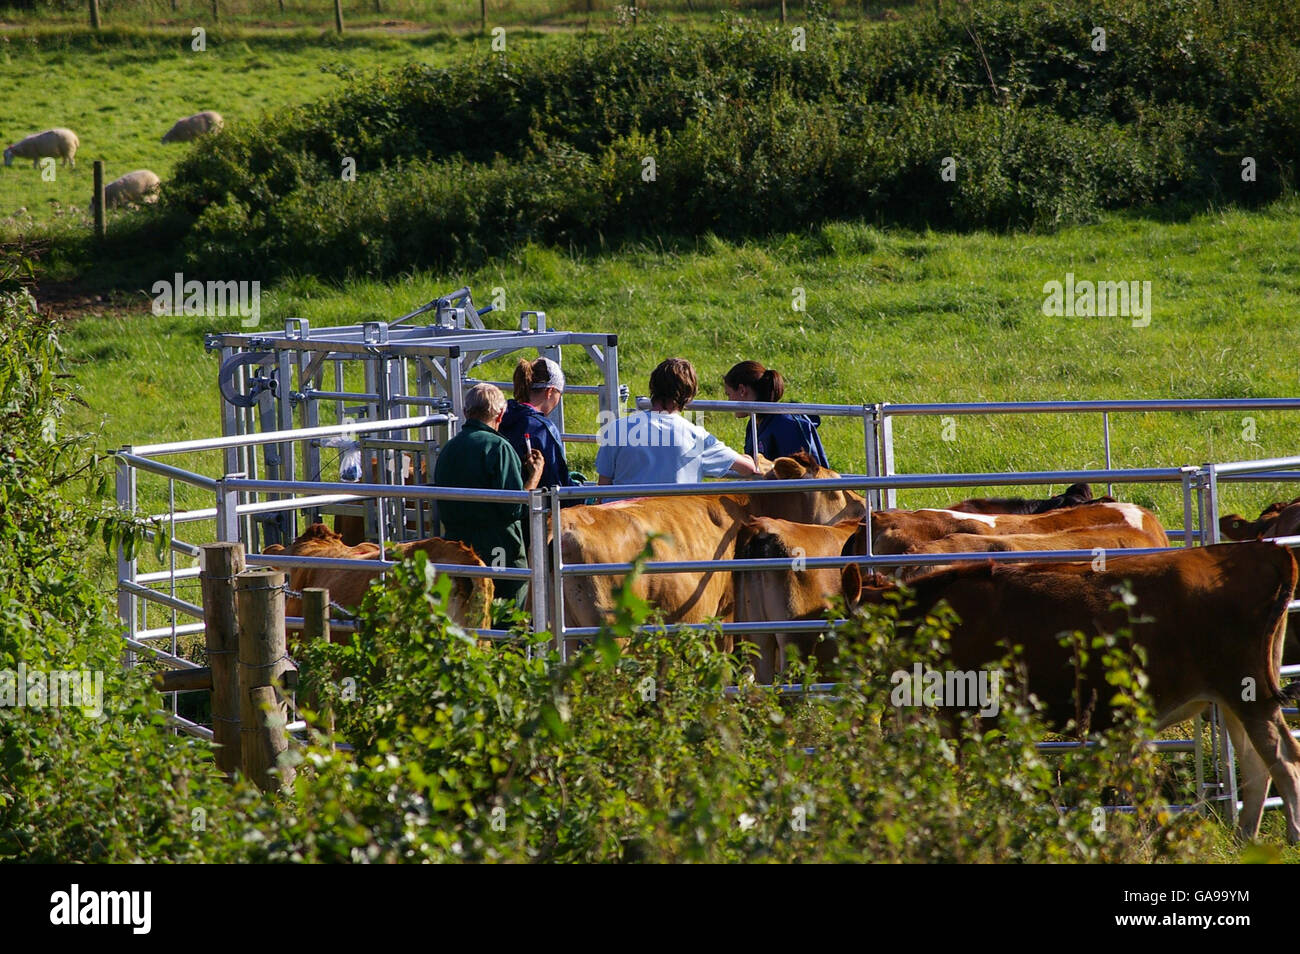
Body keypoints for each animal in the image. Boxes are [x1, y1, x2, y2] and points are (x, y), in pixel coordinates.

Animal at [842, 540, 1300, 847]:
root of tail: (1258, 550)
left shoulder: (965, 712)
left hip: (1249, 693)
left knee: (1284, 759)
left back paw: (1291, 835)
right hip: (1234, 699)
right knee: (1255, 765)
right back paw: (1244, 838)